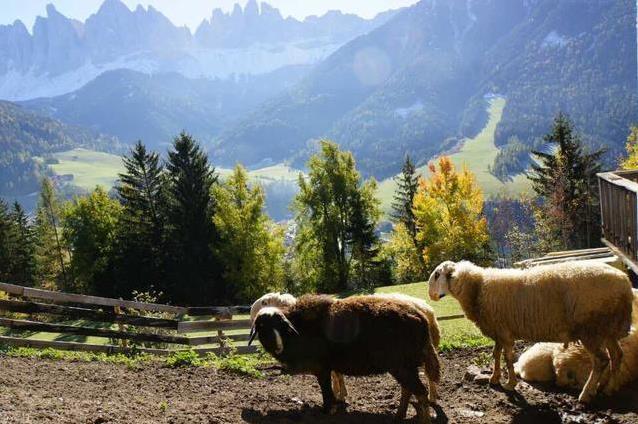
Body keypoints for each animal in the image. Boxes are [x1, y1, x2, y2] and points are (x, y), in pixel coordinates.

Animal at [249, 294, 440, 422]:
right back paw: (399, 416)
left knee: (420, 393)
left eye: (281, 325)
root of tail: (421, 317)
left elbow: (326, 390)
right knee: (408, 390)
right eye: (262, 326)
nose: (278, 346)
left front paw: (328, 409)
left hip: (402, 365)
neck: (297, 331)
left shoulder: (321, 368)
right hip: (403, 366)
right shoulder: (327, 368)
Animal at [430, 260, 636, 402]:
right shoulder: (499, 330)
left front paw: (510, 384)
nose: (430, 295)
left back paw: (586, 394)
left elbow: (507, 358)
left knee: (601, 360)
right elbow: (496, 354)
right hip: (607, 328)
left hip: (590, 329)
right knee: (617, 355)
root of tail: (625, 283)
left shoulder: (504, 332)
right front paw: (494, 378)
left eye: (437, 274)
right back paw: (609, 388)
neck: (478, 288)